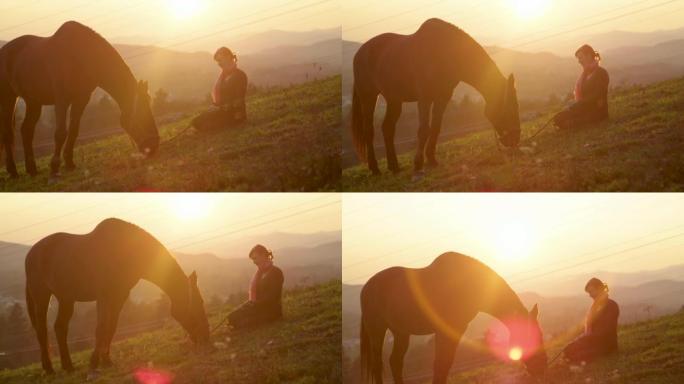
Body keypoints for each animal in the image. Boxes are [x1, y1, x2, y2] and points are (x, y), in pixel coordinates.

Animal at [0, 20, 158, 178]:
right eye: (139, 111)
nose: (153, 146)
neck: (79, 54)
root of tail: (4, 51)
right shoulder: (62, 100)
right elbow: (60, 132)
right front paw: (54, 166)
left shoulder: (82, 99)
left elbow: (74, 130)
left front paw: (69, 162)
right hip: (8, 98)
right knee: (8, 133)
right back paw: (13, 171)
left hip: (33, 101)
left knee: (26, 130)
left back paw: (32, 169)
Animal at [24, 219, 208, 376]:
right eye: (197, 303)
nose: (206, 337)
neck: (126, 251)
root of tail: (31, 253)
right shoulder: (104, 296)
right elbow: (101, 328)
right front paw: (94, 363)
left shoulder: (119, 296)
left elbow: (111, 327)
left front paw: (106, 361)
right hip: (42, 296)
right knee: (42, 330)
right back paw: (49, 369)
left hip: (66, 298)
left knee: (60, 328)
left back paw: (68, 366)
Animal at [350, 18, 520, 176]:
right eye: (509, 108)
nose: (515, 140)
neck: (444, 52)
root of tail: (359, 53)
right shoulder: (424, 98)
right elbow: (424, 129)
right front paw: (418, 163)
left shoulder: (443, 97)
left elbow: (436, 127)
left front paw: (431, 159)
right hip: (368, 97)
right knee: (369, 131)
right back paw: (375, 168)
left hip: (394, 100)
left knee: (387, 128)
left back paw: (394, 166)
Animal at [360, 252, 548, 384]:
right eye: (532, 336)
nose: (542, 367)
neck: (465, 283)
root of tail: (367, 287)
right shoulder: (445, 330)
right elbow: (440, 364)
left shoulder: (456, 329)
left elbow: (445, 364)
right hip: (377, 331)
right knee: (378, 365)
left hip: (401, 332)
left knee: (395, 362)